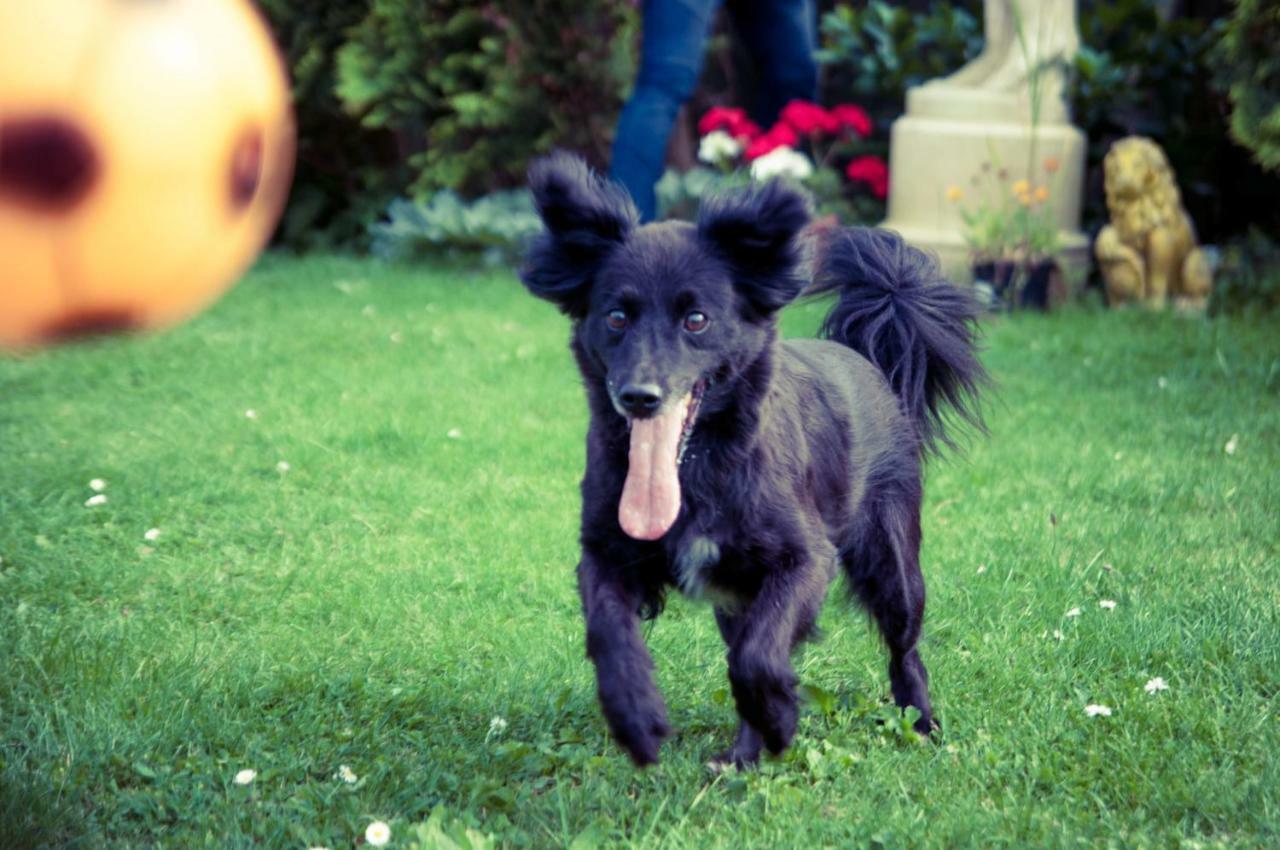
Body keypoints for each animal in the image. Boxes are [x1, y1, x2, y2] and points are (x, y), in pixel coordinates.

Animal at [514, 152, 983, 768]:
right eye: (616, 317)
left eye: (696, 319)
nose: (639, 396)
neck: (693, 473)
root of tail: (866, 356)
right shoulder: (606, 552)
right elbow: (610, 632)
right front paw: (635, 716)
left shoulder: (805, 559)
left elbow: (758, 656)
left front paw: (780, 718)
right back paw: (741, 756)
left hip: (892, 566)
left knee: (905, 650)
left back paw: (920, 722)